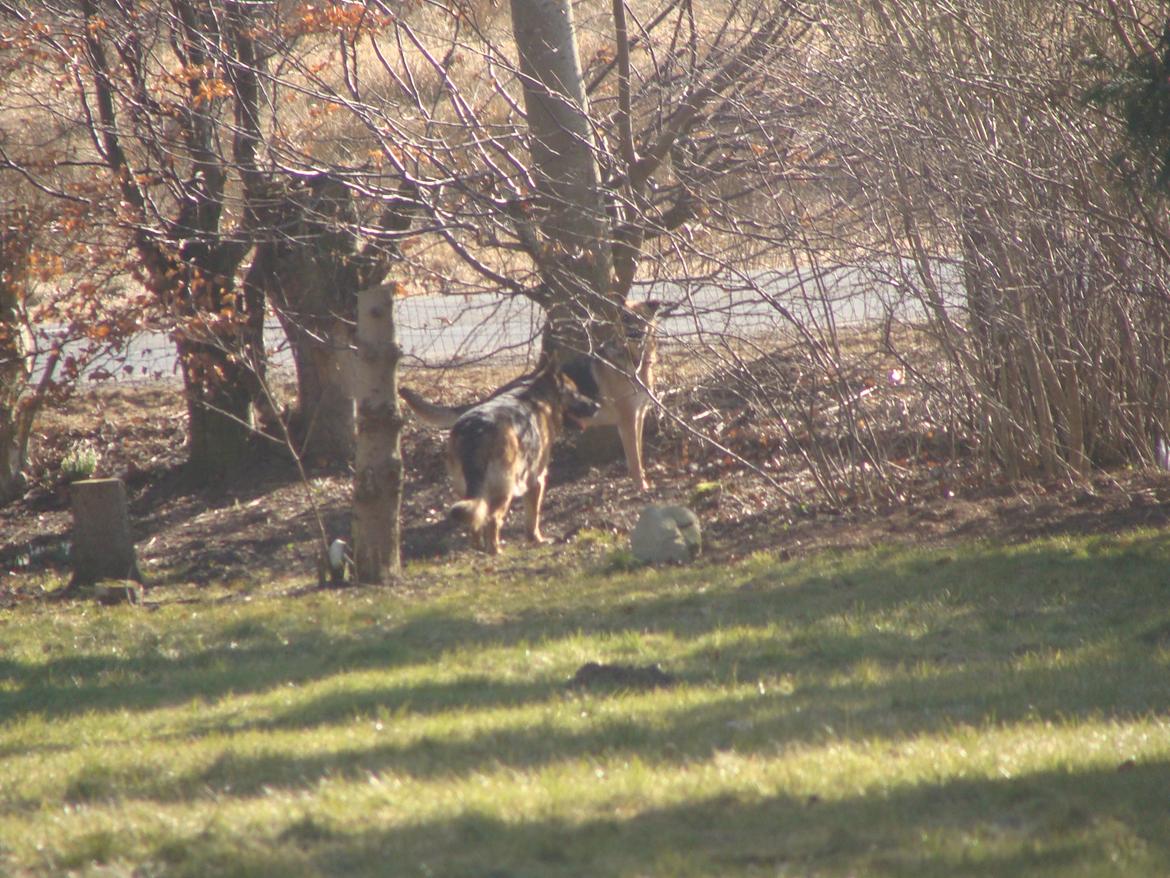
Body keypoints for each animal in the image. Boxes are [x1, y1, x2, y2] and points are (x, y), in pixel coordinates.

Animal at [400, 302, 664, 496]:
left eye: (640, 319)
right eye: (625, 319)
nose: (633, 336)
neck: (633, 363)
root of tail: (494, 398)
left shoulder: (637, 418)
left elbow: (638, 454)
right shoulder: (627, 421)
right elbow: (634, 459)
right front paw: (641, 487)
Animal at [442, 355, 599, 550]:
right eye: (575, 393)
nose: (597, 405)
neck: (541, 398)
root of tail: (475, 430)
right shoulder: (537, 479)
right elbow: (533, 517)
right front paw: (537, 540)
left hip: (469, 491)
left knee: (476, 520)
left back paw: (478, 548)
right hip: (504, 489)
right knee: (493, 519)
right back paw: (496, 550)